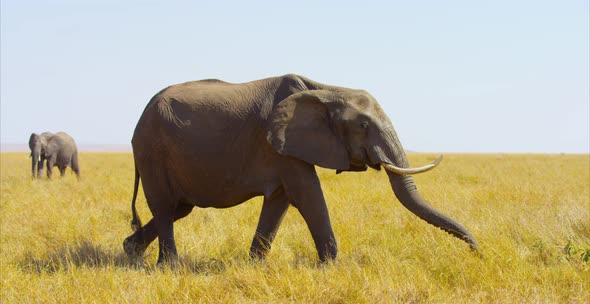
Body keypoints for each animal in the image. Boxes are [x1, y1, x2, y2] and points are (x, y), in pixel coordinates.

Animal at [122, 73, 478, 264]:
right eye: (363, 125)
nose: (476, 251)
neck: (327, 89)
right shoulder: (282, 146)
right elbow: (308, 195)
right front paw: (332, 268)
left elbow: (279, 202)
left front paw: (254, 266)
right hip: (152, 149)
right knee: (165, 207)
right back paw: (169, 267)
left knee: (179, 208)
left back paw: (131, 252)